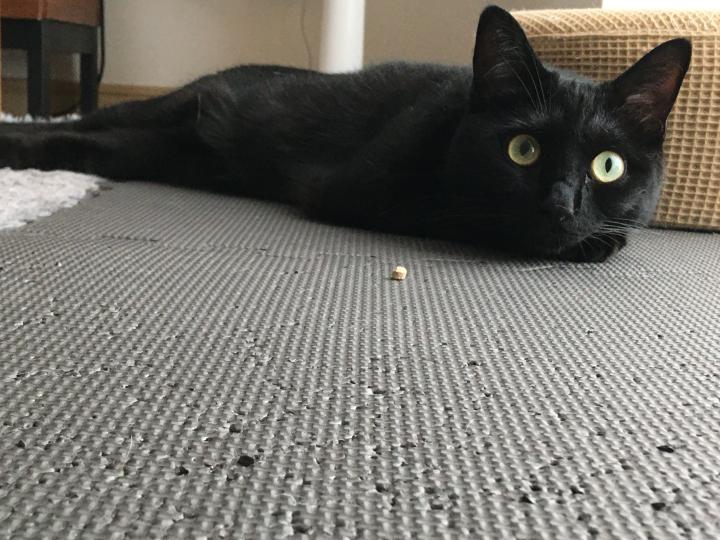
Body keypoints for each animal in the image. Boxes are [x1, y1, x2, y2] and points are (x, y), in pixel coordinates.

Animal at [0, 6, 691, 262]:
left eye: (608, 166)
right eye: (522, 150)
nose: (559, 205)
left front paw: (600, 234)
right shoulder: (361, 192)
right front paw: (594, 241)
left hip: (154, 151)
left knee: (85, 143)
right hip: (161, 119)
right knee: (77, 127)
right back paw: (16, 141)